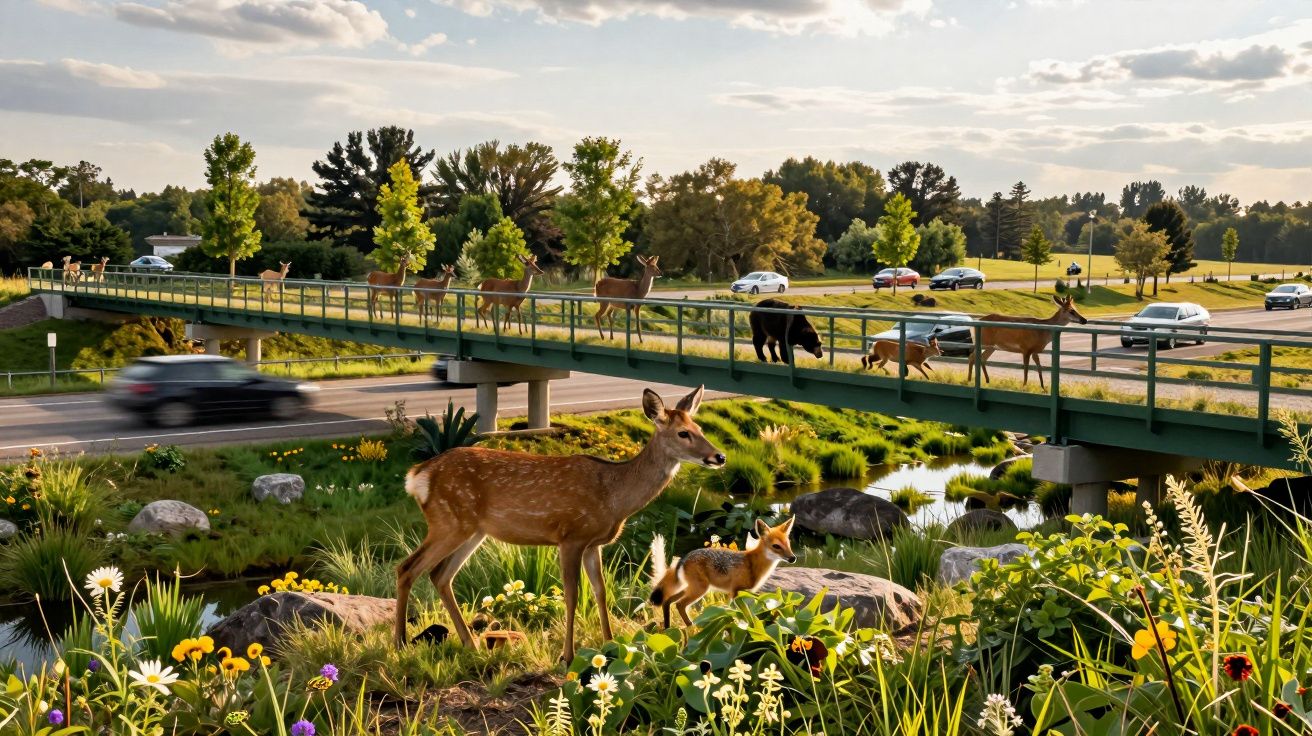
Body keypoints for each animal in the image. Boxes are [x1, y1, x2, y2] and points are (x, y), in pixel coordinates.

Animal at [648, 517, 796, 628]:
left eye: (788, 544)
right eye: (776, 546)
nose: (793, 558)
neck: (752, 563)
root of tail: (684, 558)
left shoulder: (736, 594)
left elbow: (735, 611)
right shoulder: (736, 592)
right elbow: (743, 614)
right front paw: (750, 627)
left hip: (691, 588)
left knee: (668, 601)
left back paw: (669, 628)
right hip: (700, 589)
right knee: (679, 604)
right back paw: (691, 627)